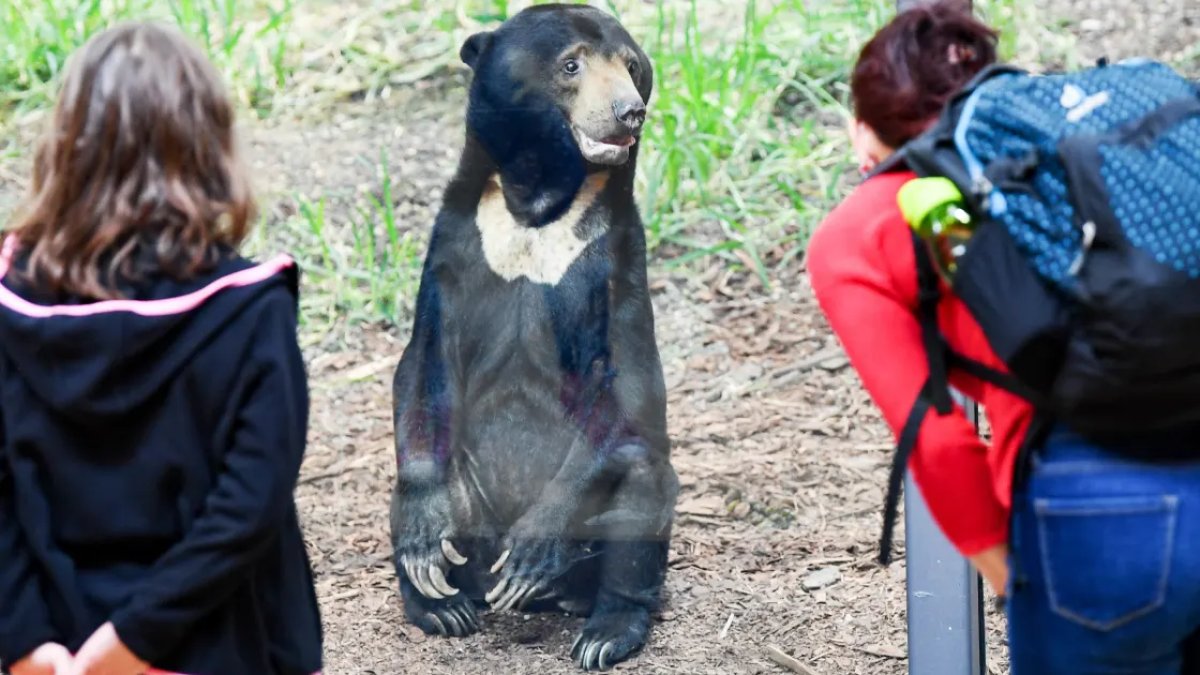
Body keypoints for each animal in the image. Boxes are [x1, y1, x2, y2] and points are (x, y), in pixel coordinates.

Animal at [387, 3, 680, 672]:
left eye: (631, 67)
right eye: (571, 65)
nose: (629, 112)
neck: (539, 205)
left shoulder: (616, 263)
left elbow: (629, 386)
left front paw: (532, 550)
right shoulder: (453, 249)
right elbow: (422, 364)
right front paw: (424, 547)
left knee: (641, 480)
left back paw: (600, 628)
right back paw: (442, 606)